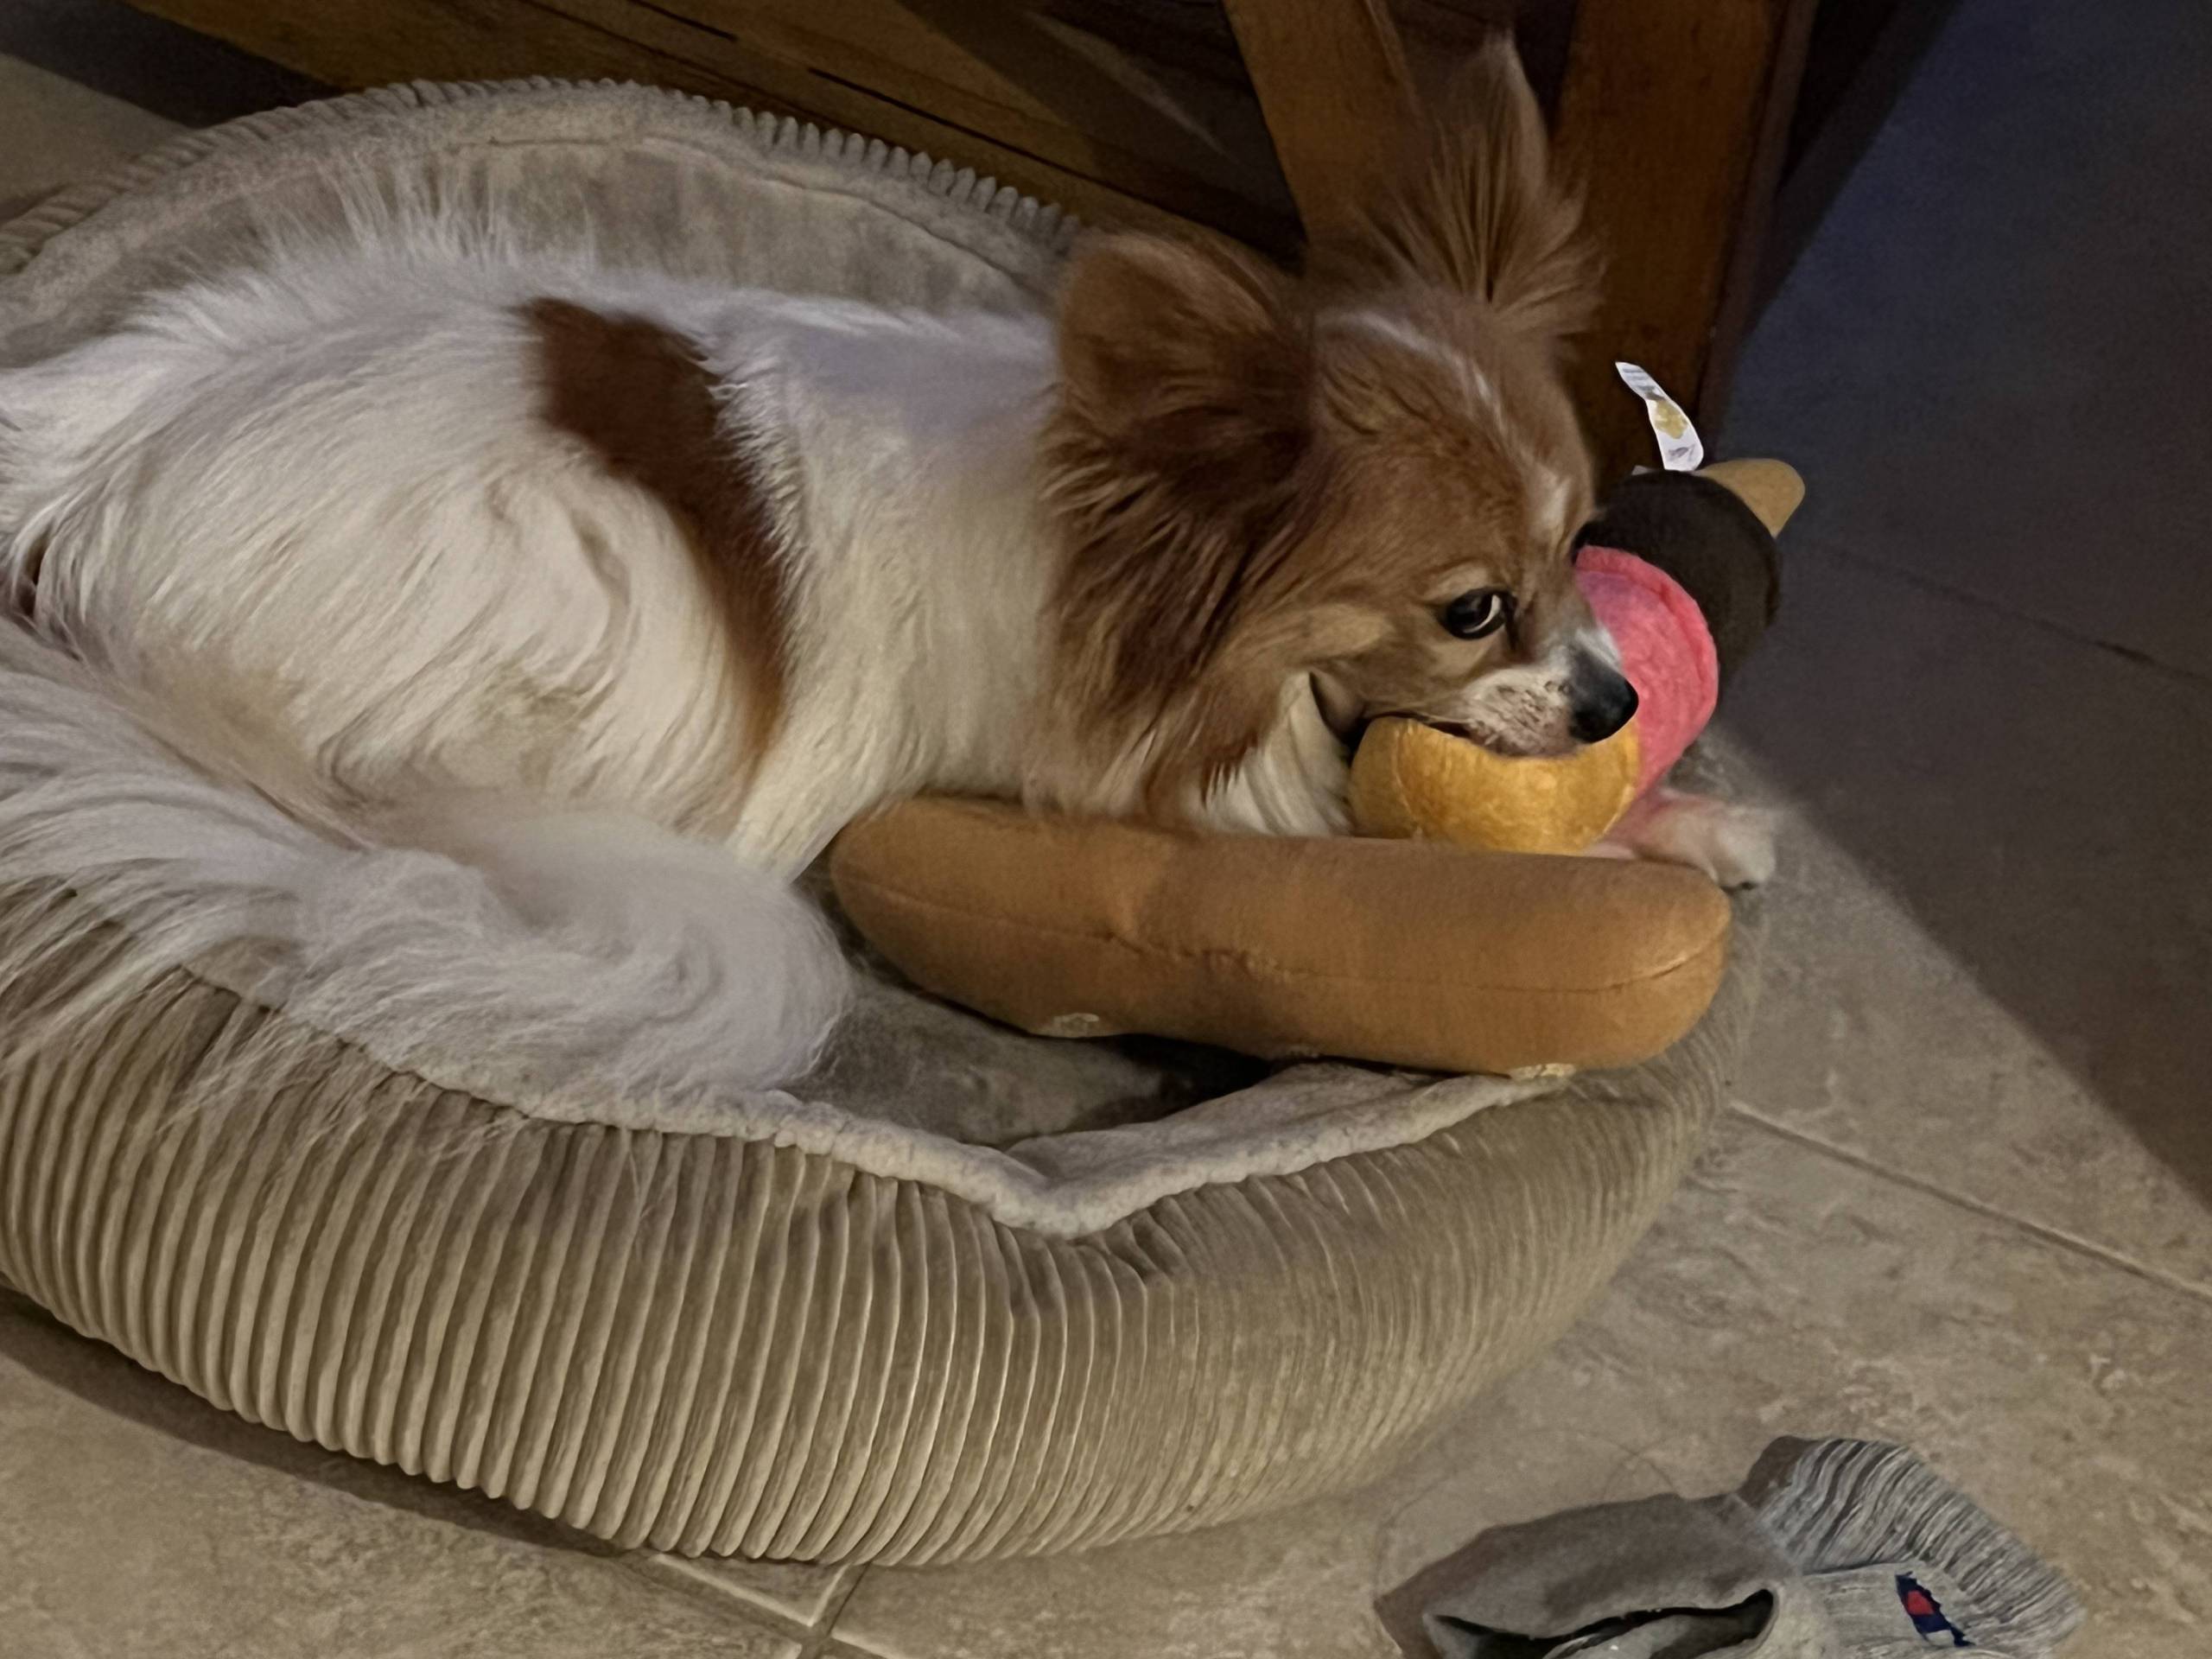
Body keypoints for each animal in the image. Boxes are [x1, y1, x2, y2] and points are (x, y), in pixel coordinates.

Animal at [0, 42, 1767, 1099]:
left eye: (1580, 549)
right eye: (1471, 610)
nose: (1620, 704)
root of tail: (89, 493)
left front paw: (1693, 813)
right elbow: (1403, 842)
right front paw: (1650, 841)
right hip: (566, 613)